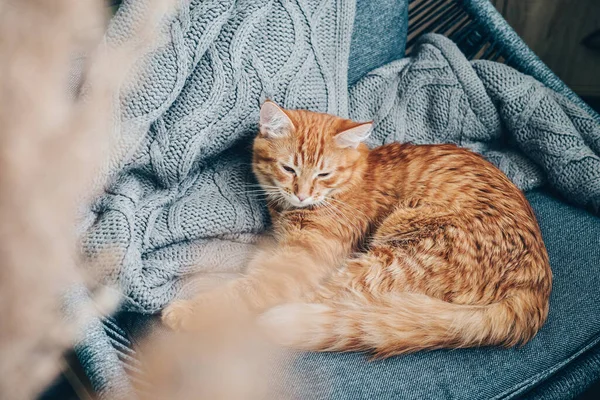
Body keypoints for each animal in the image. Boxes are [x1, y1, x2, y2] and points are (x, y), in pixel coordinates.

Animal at [161, 100, 552, 356]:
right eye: (289, 169)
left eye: (323, 173)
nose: (302, 193)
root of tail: (534, 289)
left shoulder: (299, 264)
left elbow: (246, 291)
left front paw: (190, 312)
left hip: (392, 253)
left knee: (324, 299)